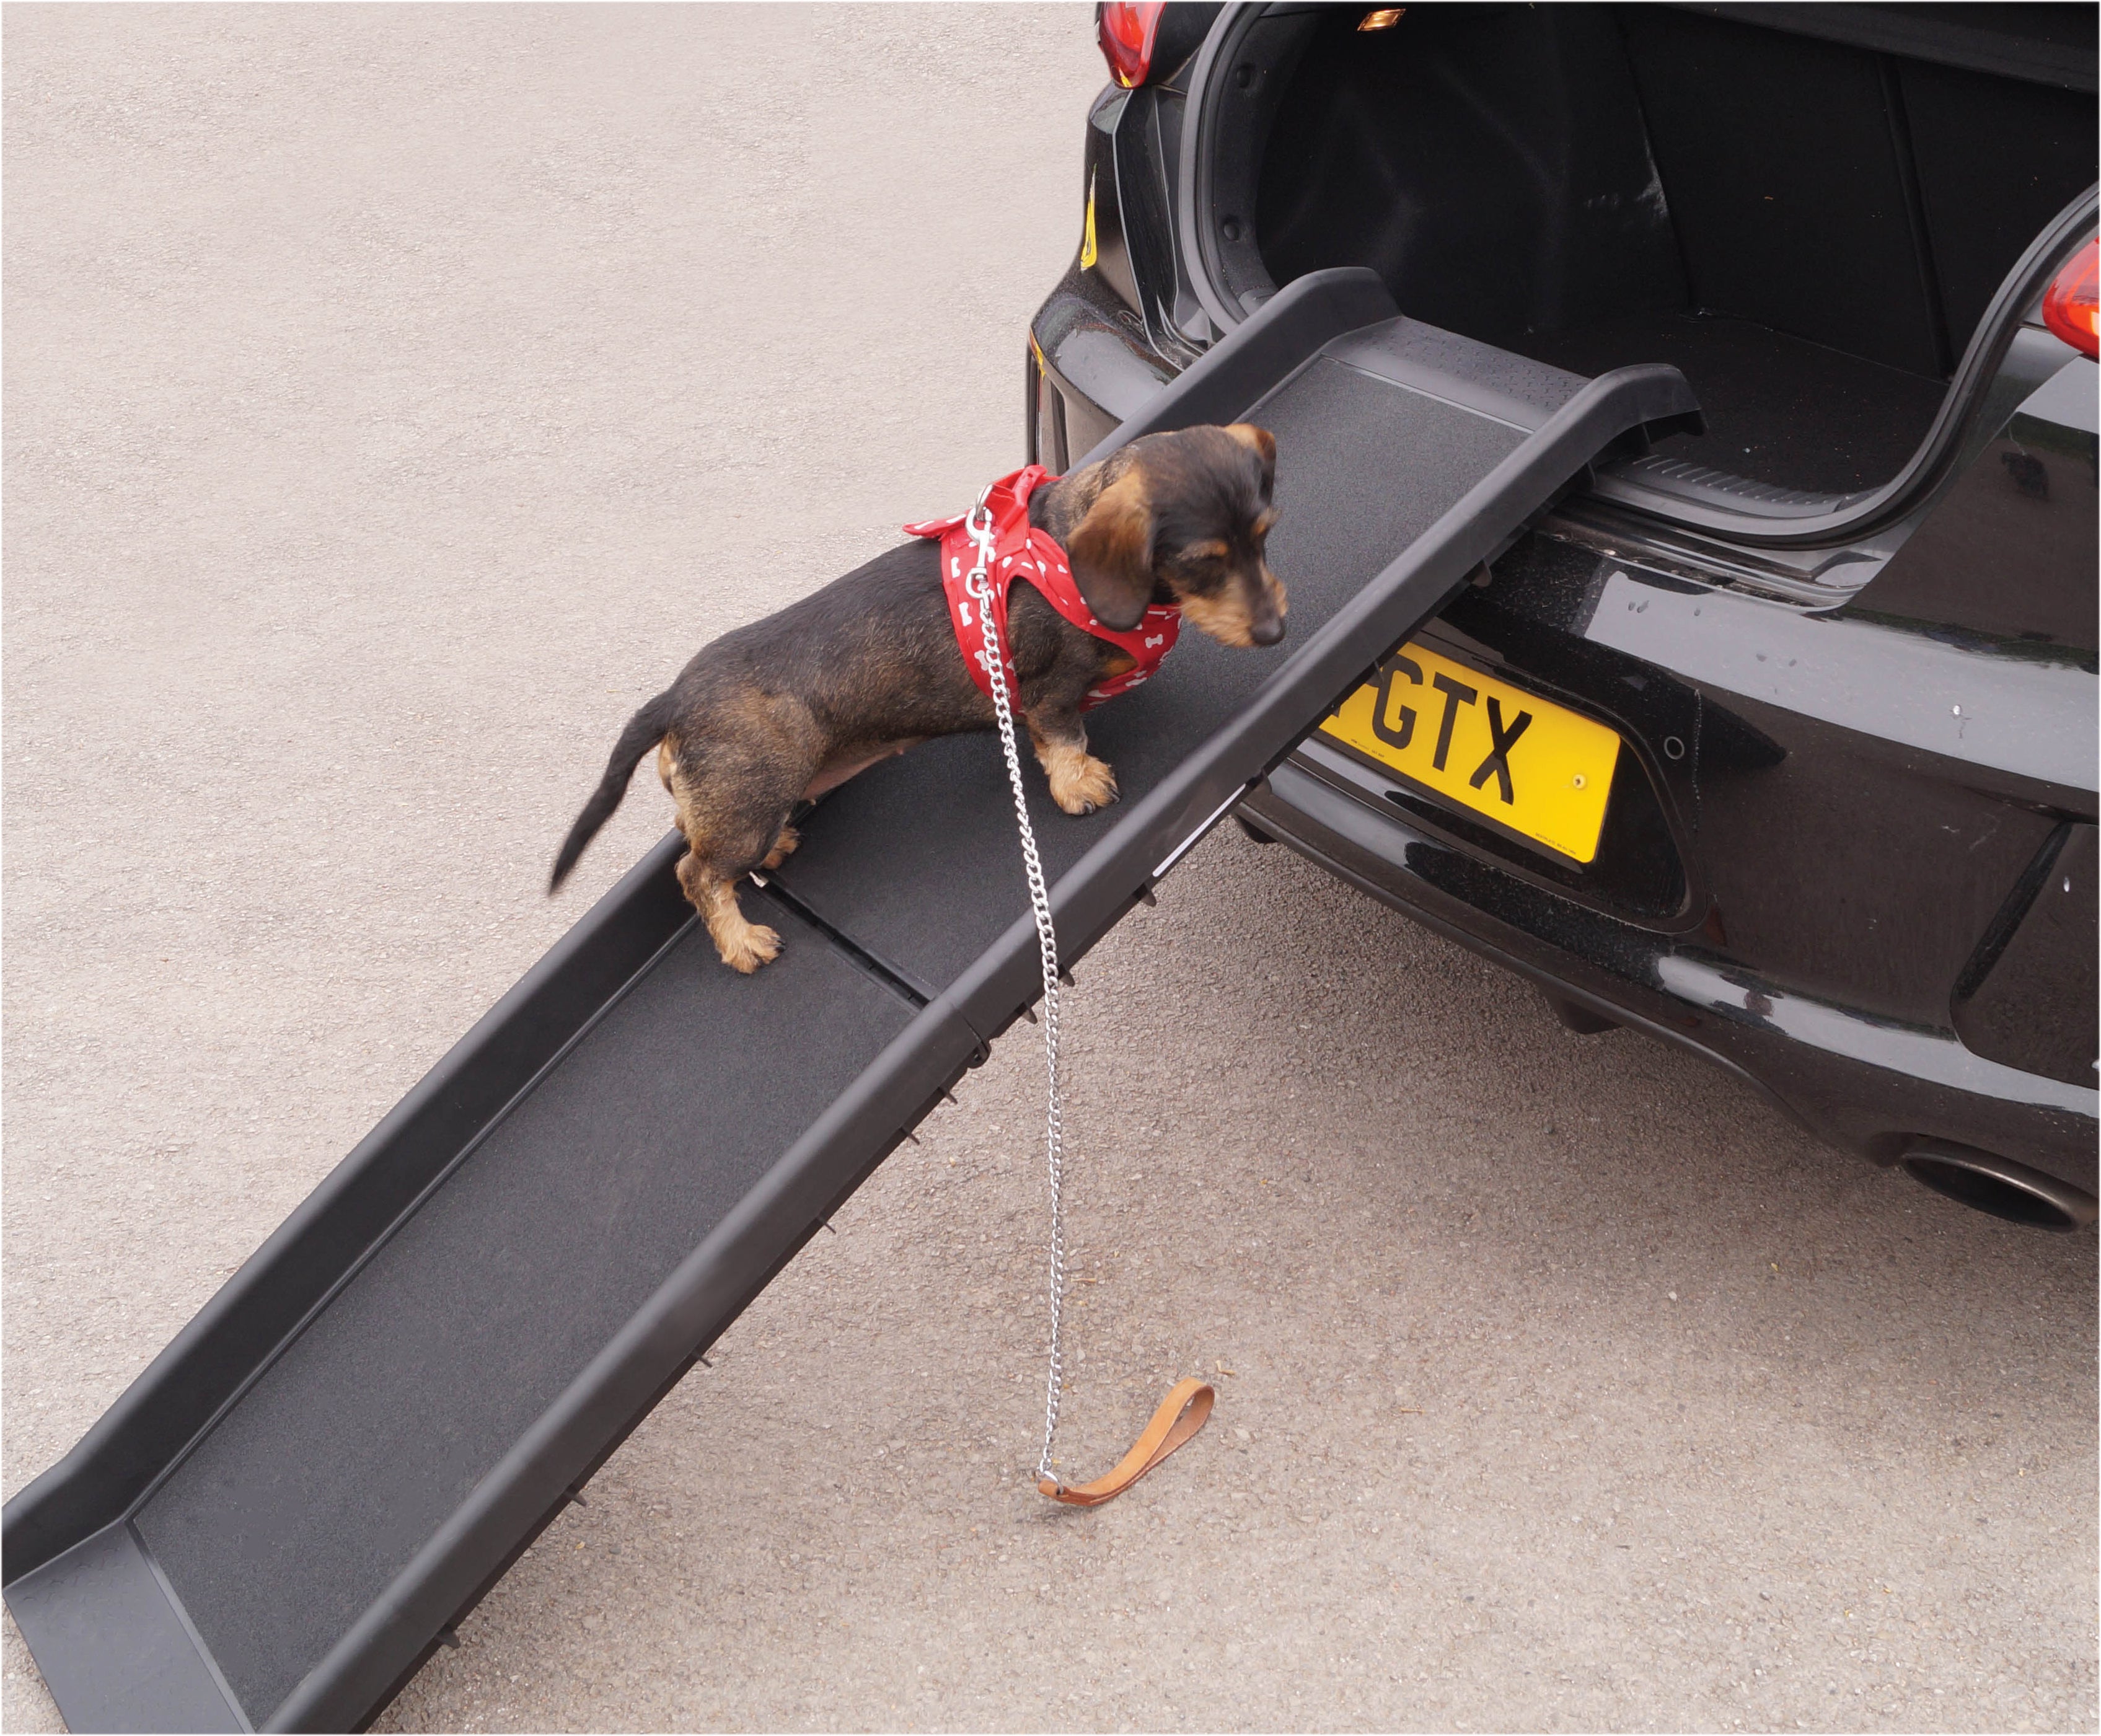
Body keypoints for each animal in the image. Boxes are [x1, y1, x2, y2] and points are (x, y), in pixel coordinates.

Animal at [546, 416, 1277, 963]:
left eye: (1266, 535)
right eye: (1202, 562)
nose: (1275, 630)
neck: (1062, 550)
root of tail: (675, 696)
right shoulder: (1048, 695)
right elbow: (1065, 739)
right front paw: (1081, 784)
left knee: (690, 831)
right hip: (748, 800)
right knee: (694, 873)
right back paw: (740, 940)